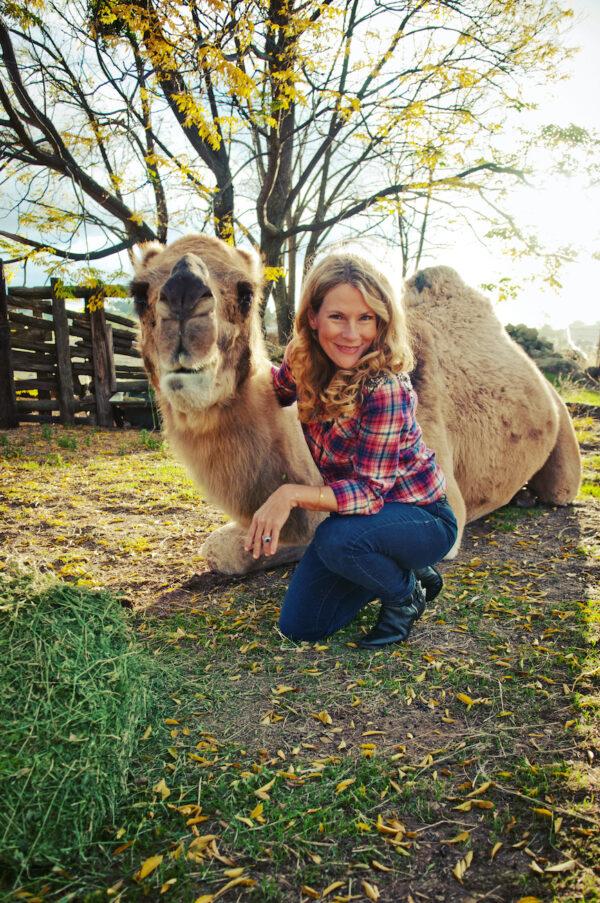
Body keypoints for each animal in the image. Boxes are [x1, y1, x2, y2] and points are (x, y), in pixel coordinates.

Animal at [131, 234, 581, 575]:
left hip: (564, 439)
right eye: (138, 293)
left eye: (246, 292)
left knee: (560, 489)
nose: (184, 295)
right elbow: (220, 549)